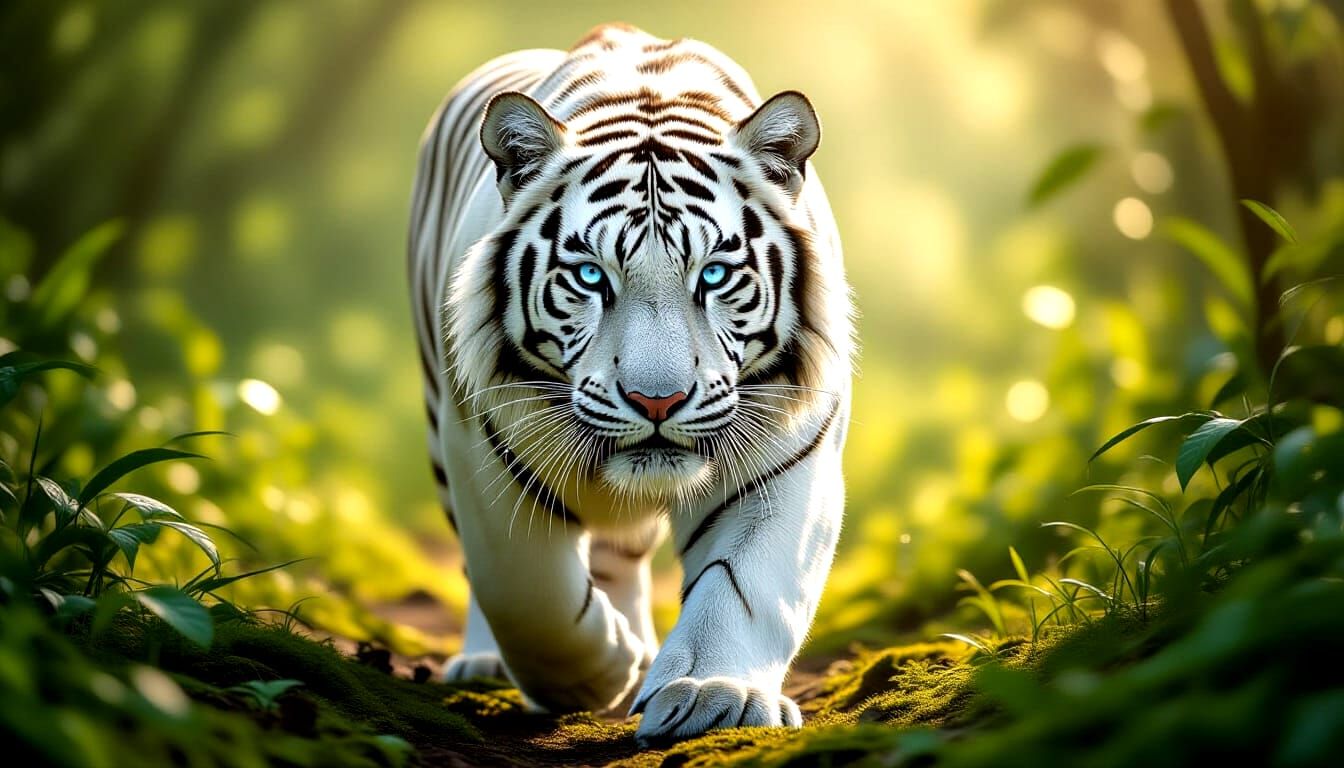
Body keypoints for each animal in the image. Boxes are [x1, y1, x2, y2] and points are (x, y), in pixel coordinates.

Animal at [406, 23, 853, 744]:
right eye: (591, 277)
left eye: (714, 274)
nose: (657, 401)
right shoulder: (481, 445)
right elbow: (525, 592)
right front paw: (593, 676)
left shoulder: (787, 451)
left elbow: (743, 584)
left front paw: (712, 694)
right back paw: (490, 661)